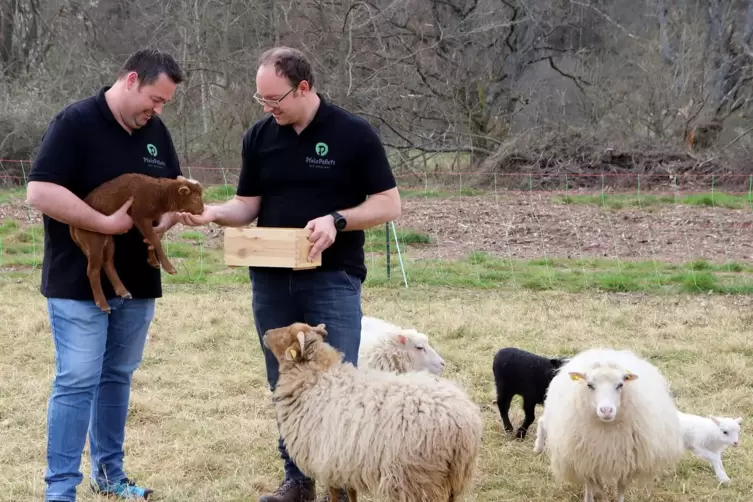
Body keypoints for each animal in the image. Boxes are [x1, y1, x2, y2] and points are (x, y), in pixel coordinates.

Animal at [70, 174, 204, 314]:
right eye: (194, 198)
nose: (201, 210)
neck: (158, 193)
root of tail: (73, 227)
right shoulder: (140, 217)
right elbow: (155, 240)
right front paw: (169, 268)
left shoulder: (150, 220)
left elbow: (150, 239)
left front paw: (153, 261)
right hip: (94, 241)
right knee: (93, 270)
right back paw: (103, 305)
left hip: (109, 239)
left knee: (107, 262)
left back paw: (123, 292)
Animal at [262, 322, 478, 502]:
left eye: (285, 336)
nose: (265, 333)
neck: (318, 378)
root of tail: (463, 423)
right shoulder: (343, 463)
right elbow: (351, 494)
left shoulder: (326, 462)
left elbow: (334, 495)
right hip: (451, 480)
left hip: (420, 479)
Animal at [532, 348, 684, 502]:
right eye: (589, 385)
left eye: (620, 385)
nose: (606, 410)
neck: (607, 431)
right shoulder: (588, 462)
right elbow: (596, 489)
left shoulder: (627, 464)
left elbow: (621, 489)